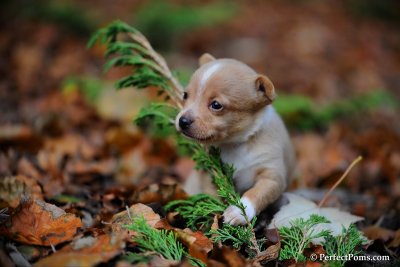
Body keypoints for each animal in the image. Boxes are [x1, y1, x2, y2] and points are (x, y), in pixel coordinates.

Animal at [176, 54, 296, 226]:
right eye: (185, 95)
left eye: (216, 105)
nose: (182, 121)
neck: (234, 144)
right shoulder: (210, 174)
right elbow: (212, 193)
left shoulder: (272, 177)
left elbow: (256, 193)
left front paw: (239, 211)